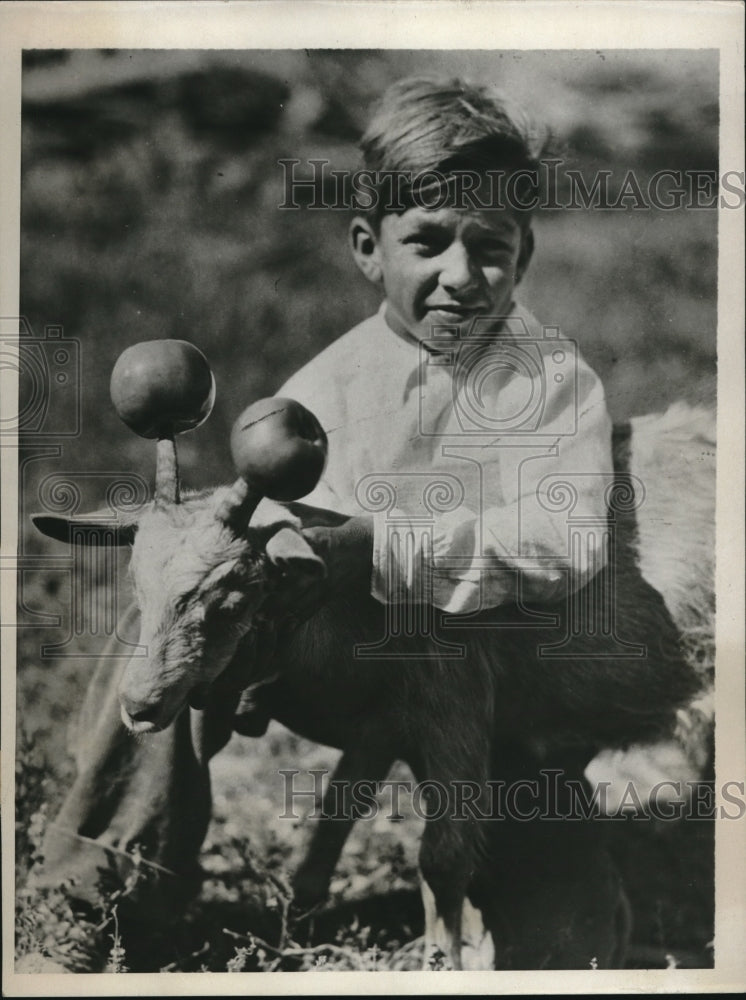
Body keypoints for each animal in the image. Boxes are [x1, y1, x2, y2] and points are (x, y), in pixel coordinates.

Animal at [33, 400, 708, 968]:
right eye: (136, 584)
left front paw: (442, 961)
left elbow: (442, 856)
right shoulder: (381, 725)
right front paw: (291, 936)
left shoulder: (456, 705)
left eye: (233, 600)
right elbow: (332, 822)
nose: (140, 705)